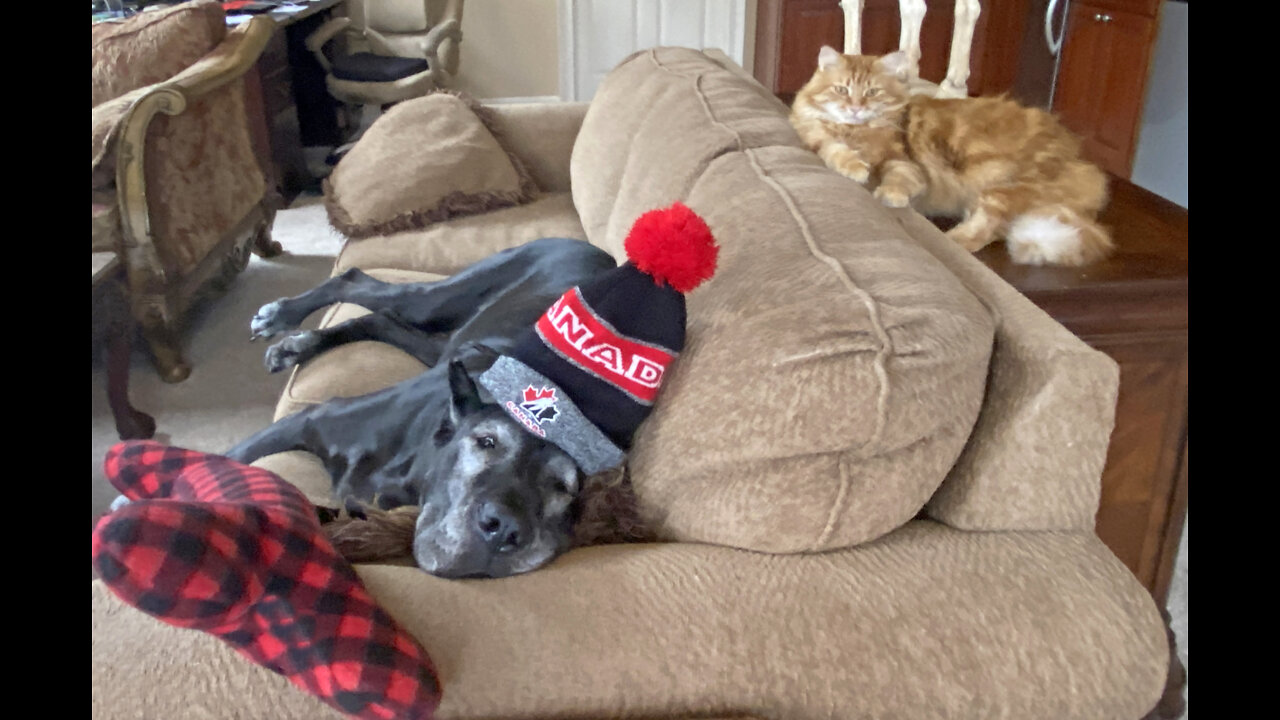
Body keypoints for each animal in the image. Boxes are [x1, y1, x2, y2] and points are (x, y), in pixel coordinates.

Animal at [226, 237, 619, 576]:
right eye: (486, 442)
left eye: (562, 487)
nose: (505, 529)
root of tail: (598, 253)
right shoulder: (309, 420)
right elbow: (231, 461)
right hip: (442, 300)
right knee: (358, 283)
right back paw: (281, 317)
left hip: (447, 346)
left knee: (381, 317)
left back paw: (300, 343)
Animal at [788, 47, 1111, 266]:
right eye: (842, 89)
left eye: (872, 92)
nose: (855, 108)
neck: (855, 130)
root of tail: (1082, 165)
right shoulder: (817, 136)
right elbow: (833, 149)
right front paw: (855, 167)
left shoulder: (903, 161)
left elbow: (897, 177)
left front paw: (889, 195)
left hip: (1006, 188)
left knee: (985, 229)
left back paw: (952, 239)